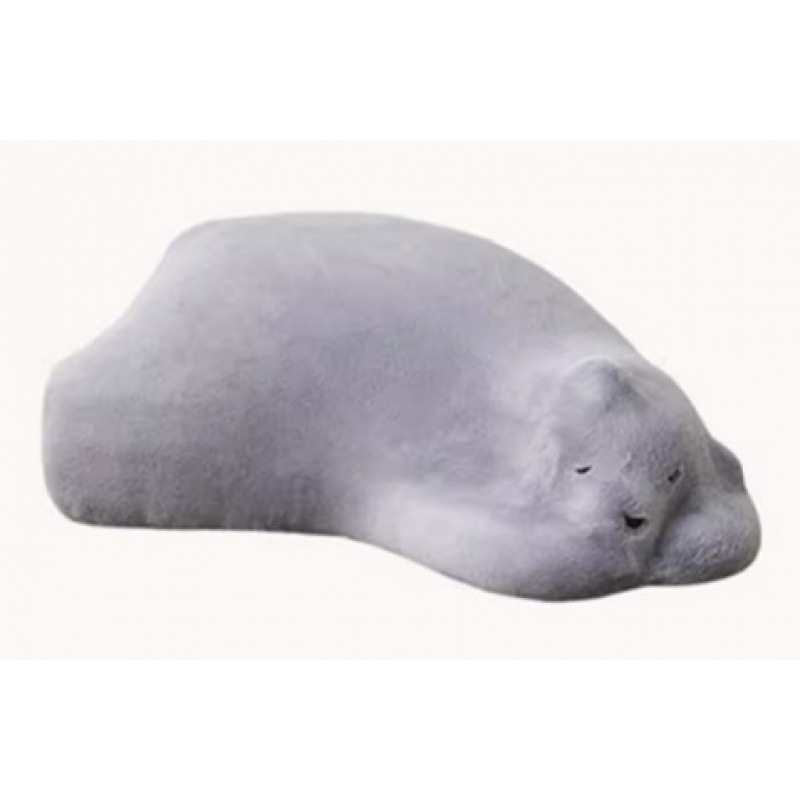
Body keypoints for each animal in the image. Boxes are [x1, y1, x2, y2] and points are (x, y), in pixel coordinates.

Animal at [42, 213, 760, 600]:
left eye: (673, 475)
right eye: (582, 469)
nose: (634, 519)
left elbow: (738, 526)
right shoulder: (454, 490)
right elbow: (528, 558)